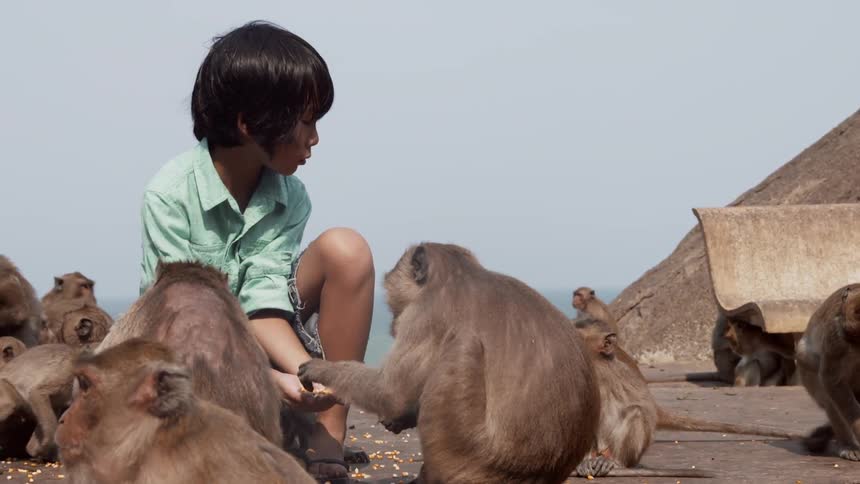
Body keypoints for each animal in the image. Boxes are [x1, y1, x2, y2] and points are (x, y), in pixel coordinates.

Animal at [299, 242, 600, 484]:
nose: (393, 323)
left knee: (460, 347)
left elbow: (392, 394)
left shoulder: (423, 316)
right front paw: (400, 418)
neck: (458, 274)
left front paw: (320, 369)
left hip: (464, 452)